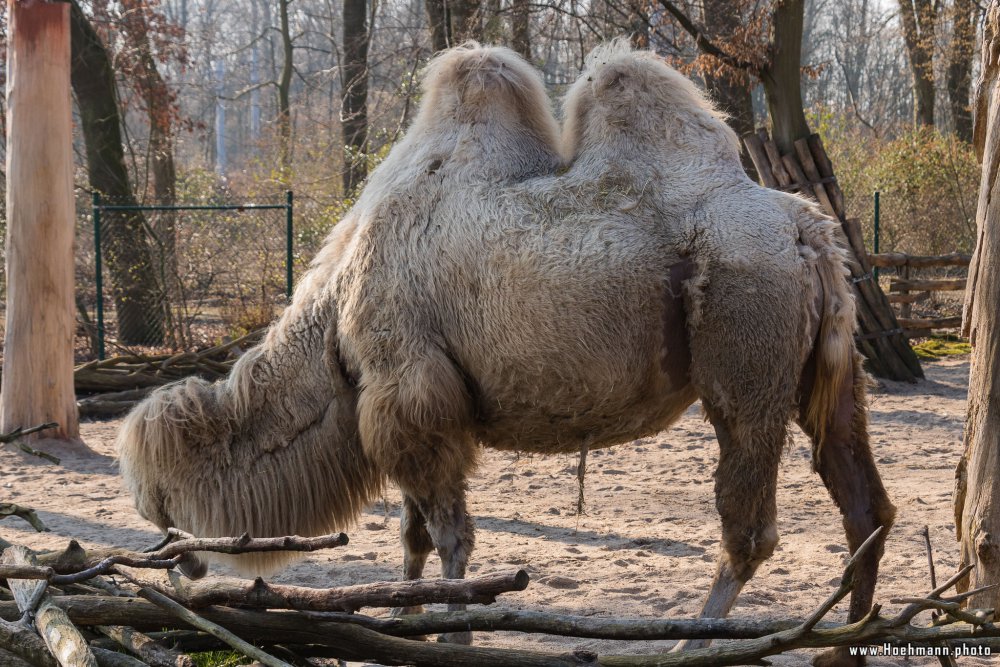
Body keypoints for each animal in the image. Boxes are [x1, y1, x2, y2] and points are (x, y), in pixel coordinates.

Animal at [115, 43, 892, 667]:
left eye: (160, 502)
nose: (175, 568)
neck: (334, 316)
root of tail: (808, 231)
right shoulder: (407, 406)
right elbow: (415, 533)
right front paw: (400, 621)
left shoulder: (412, 391)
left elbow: (449, 536)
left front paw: (454, 637)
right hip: (830, 367)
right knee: (865, 502)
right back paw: (840, 647)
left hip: (745, 343)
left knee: (751, 525)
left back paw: (693, 646)